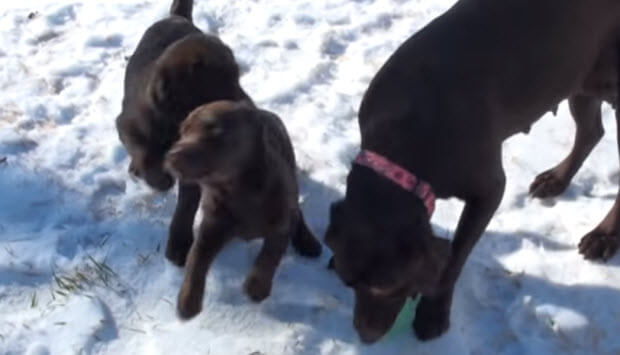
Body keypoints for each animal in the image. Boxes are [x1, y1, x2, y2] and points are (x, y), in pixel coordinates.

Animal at [115, 0, 251, 268]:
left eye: (237, 76)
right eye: (221, 84)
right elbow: (144, 152)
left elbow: (186, 206)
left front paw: (178, 243)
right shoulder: (126, 126)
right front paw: (157, 177)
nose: (249, 106)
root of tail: (177, 17)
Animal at [165, 101, 322, 320]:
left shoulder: (280, 222)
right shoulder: (213, 225)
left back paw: (307, 241)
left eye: (214, 131)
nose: (171, 156)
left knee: (296, 212)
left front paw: (256, 287)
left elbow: (269, 256)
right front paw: (188, 300)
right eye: (182, 132)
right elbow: (196, 258)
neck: (239, 190)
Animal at [326, 0, 616, 344]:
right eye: (347, 282)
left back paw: (604, 236)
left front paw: (433, 314)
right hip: (578, 75)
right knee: (591, 132)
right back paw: (556, 180)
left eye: (387, 288)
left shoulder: (488, 190)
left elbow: (455, 256)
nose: (365, 336)